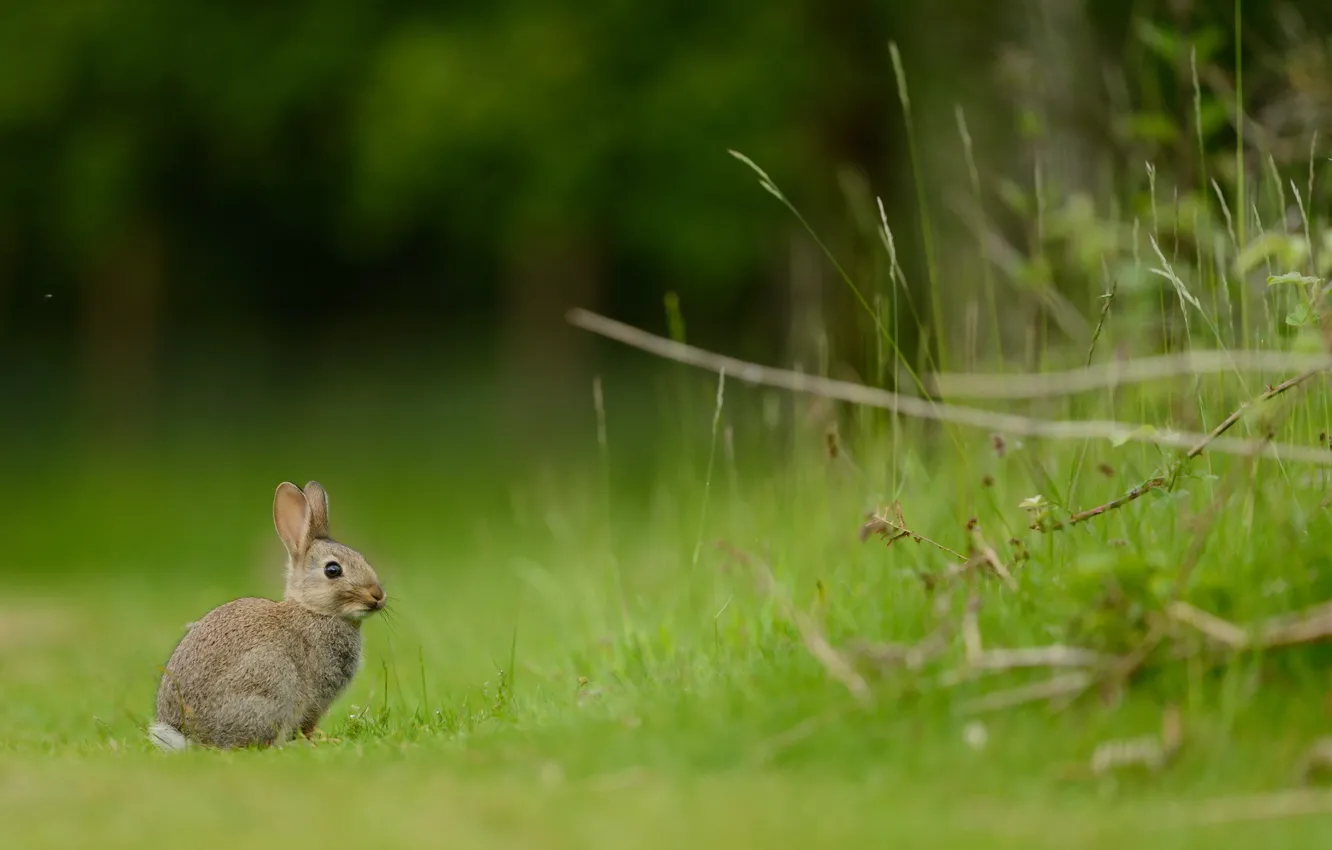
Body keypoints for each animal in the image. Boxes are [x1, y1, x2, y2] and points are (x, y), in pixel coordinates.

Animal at [148, 480, 386, 751]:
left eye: (362, 558)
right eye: (333, 570)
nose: (378, 596)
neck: (313, 610)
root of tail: (191, 738)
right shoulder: (315, 697)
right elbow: (309, 724)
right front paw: (320, 740)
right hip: (271, 681)